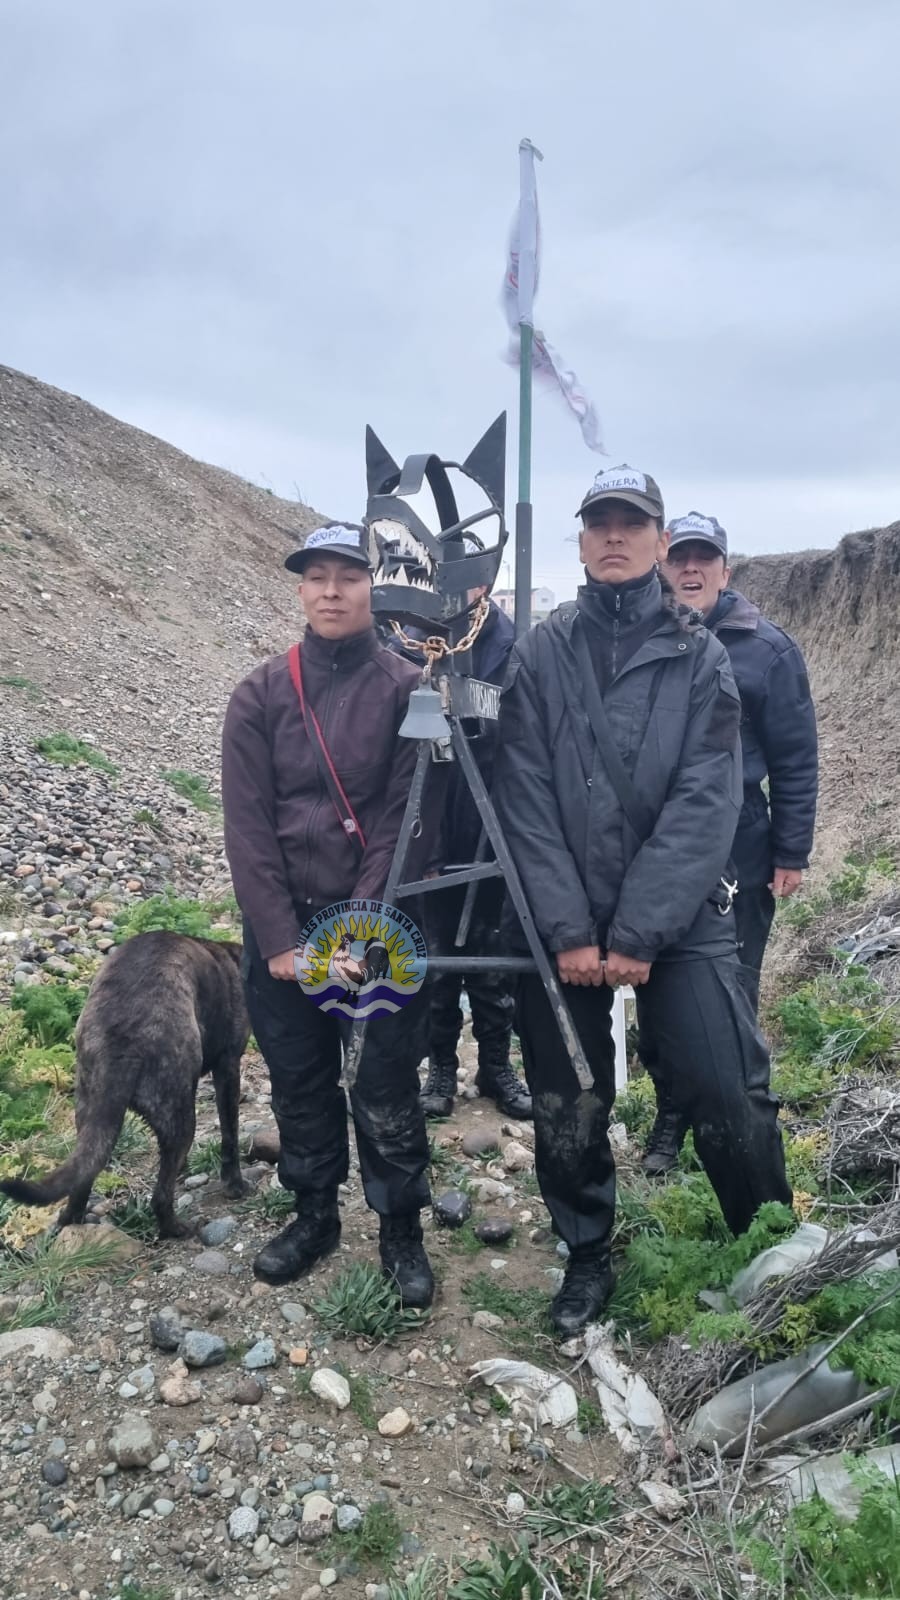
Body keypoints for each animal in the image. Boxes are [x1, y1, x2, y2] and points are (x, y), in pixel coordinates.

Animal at [0, 934, 248, 1241]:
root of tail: (121, 1039)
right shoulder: (228, 1066)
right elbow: (230, 1133)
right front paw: (234, 1185)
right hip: (178, 1119)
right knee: (160, 1197)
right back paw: (177, 1229)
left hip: (91, 1112)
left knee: (83, 1176)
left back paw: (73, 1219)